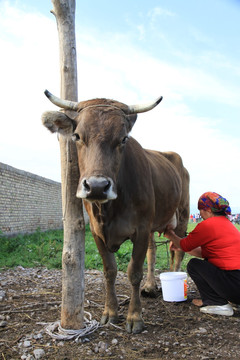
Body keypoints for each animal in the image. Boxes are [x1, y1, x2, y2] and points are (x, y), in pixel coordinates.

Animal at [42, 90, 190, 334]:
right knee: (154, 250)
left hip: (183, 214)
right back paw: (150, 286)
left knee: (177, 250)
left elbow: (134, 272)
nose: (97, 186)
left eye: (123, 139)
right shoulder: (96, 232)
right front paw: (110, 312)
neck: (108, 211)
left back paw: (176, 281)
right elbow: (109, 270)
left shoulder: (141, 229)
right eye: (77, 136)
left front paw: (134, 317)